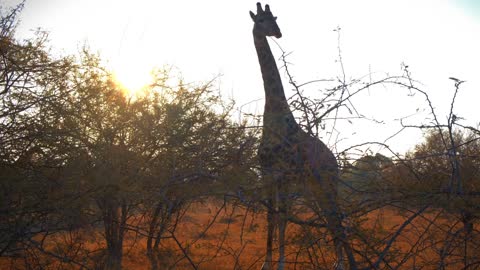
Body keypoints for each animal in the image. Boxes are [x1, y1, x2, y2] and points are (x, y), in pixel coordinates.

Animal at [251, 2, 356, 270]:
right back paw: (340, 262)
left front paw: (280, 263)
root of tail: (335, 162)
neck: (274, 114)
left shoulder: (284, 175)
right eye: (262, 20)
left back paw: (344, 263)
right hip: (316, 185)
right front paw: (266, 263)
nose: (278, 33)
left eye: (276, 18)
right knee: (331, 217)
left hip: (327, 182)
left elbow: (282, 218)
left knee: (336, 217)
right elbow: (271, 217)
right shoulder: (267, 174)